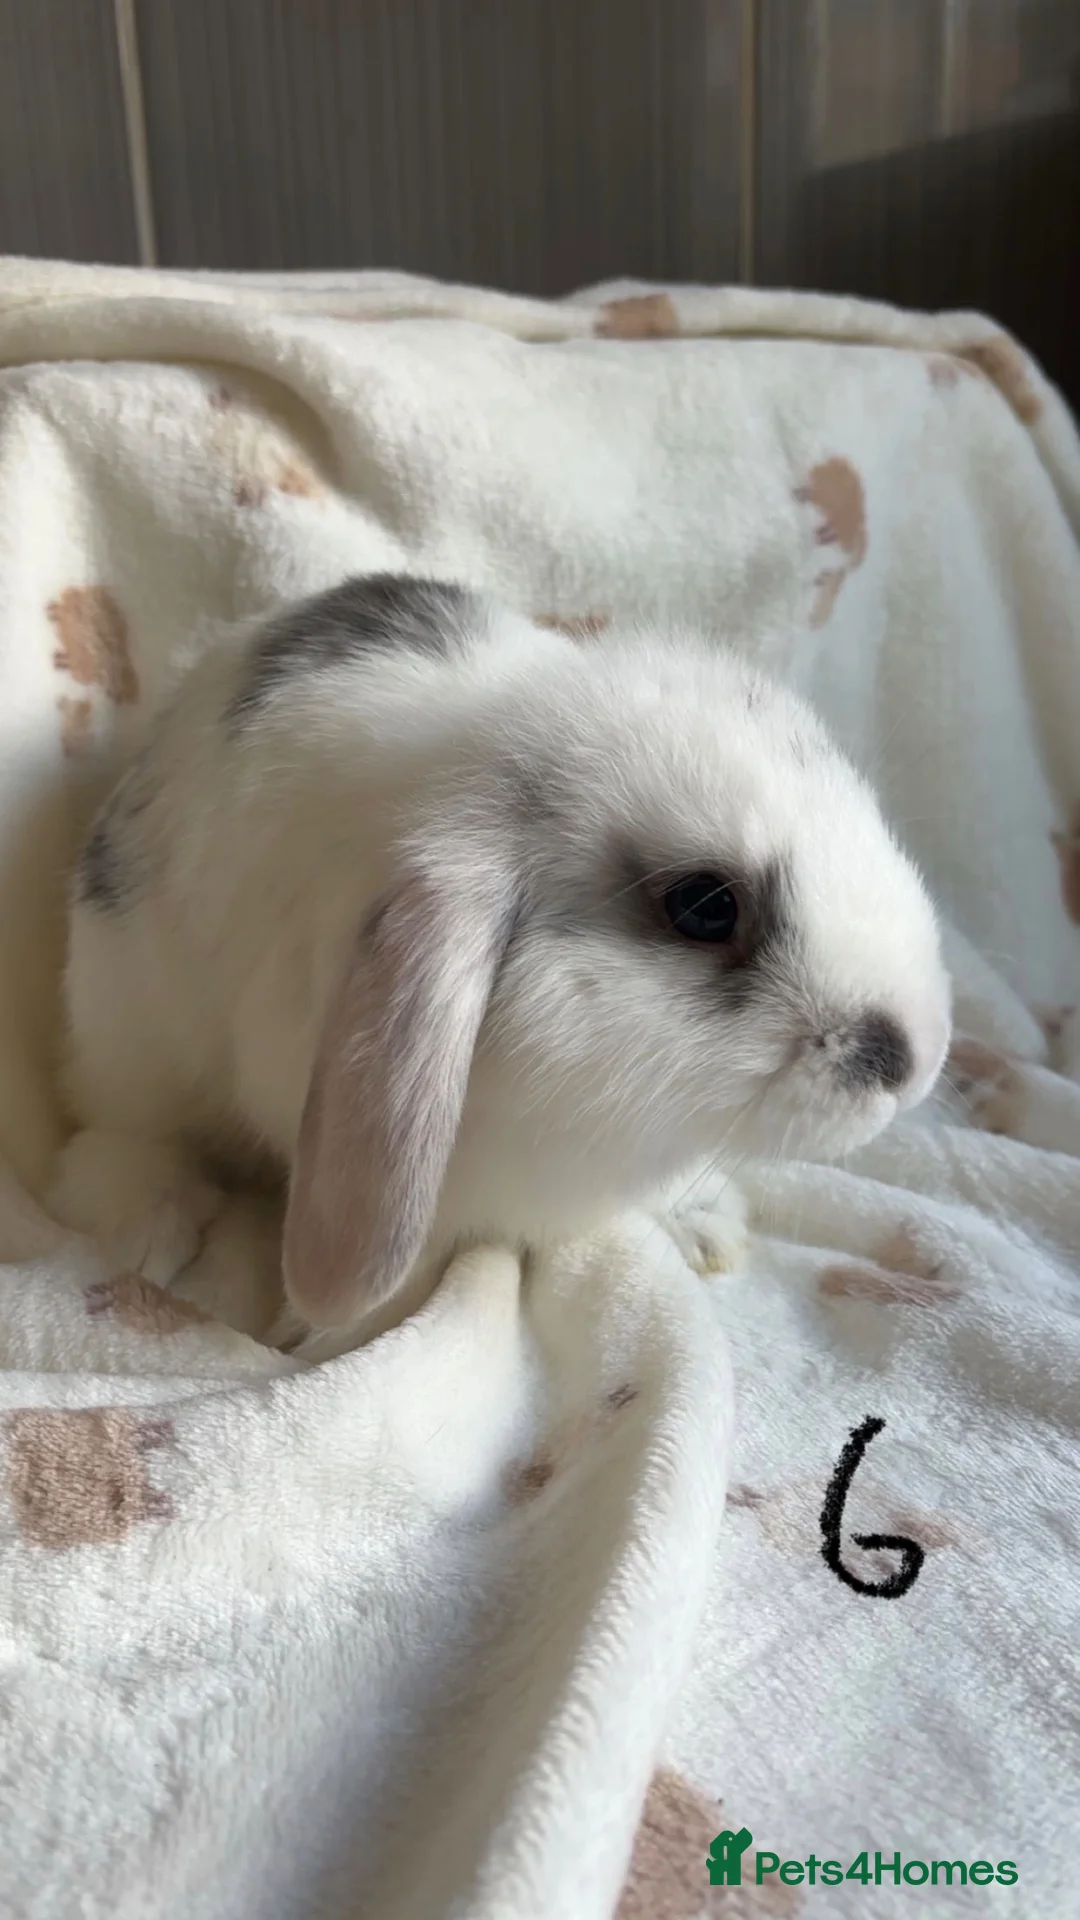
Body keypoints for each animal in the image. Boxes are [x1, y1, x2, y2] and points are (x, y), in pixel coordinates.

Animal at [47, 573, 952, 1358]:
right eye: (704, 906)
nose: (915, 1059)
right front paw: (329, 1328)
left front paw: (704, 1223)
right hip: (126, 1016)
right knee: (121, 1131)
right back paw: (148, 1227)